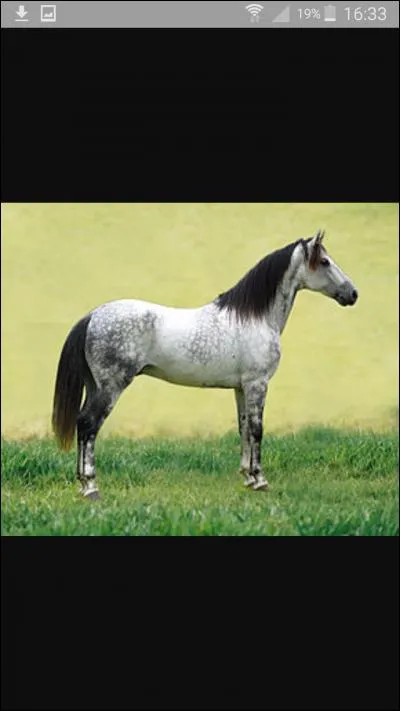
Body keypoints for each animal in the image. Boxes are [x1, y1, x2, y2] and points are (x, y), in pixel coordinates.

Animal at [52, 230, 358, 499]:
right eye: (325, 261)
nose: (353, 294)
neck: (255, 317)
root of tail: (93, 316)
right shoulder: (257, 384)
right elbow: (257, 429)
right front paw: (260, 480)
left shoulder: (241, 387)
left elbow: (243, 428)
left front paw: (247, 477)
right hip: (111, 387)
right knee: (89, 425)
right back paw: (91, 487)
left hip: (95, 386)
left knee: (81, 423)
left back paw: (82, 483)